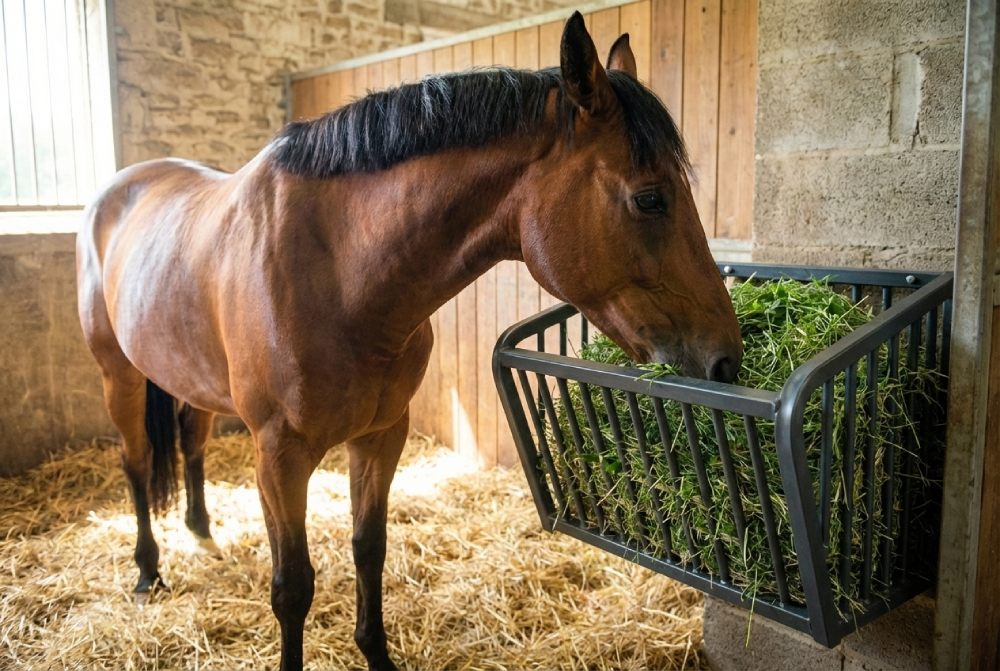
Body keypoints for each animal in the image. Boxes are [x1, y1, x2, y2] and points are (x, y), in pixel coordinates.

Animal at [76, 12, 742, 671]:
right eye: (650, 198)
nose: (726, 360)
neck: (334, 271)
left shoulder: (381, 436)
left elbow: (369, 548)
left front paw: (377, 653)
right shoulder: (278, 457)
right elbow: (292, 588)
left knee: (190, 444)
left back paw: (202, 534)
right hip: (117, 376)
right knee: (136, 463)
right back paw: (147, 572)